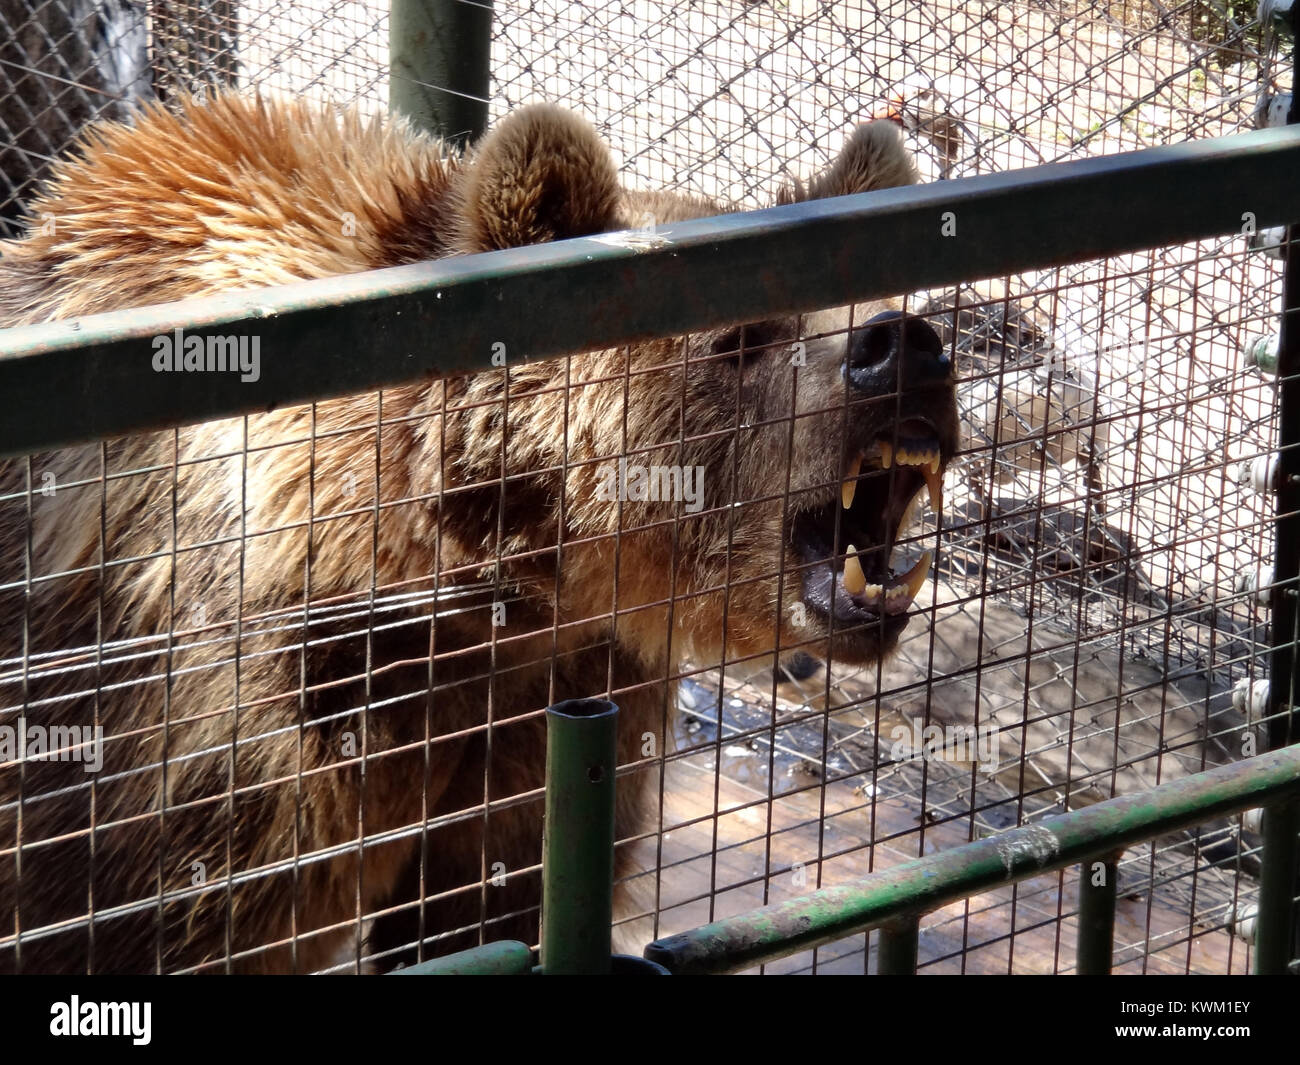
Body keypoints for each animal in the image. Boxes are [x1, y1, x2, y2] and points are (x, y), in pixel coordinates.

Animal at [0, 93, 956, 972]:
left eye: (874, 298)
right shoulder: (209, 712)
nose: (900, 348)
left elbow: (491, 907)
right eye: (741, 335)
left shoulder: (556, 696)